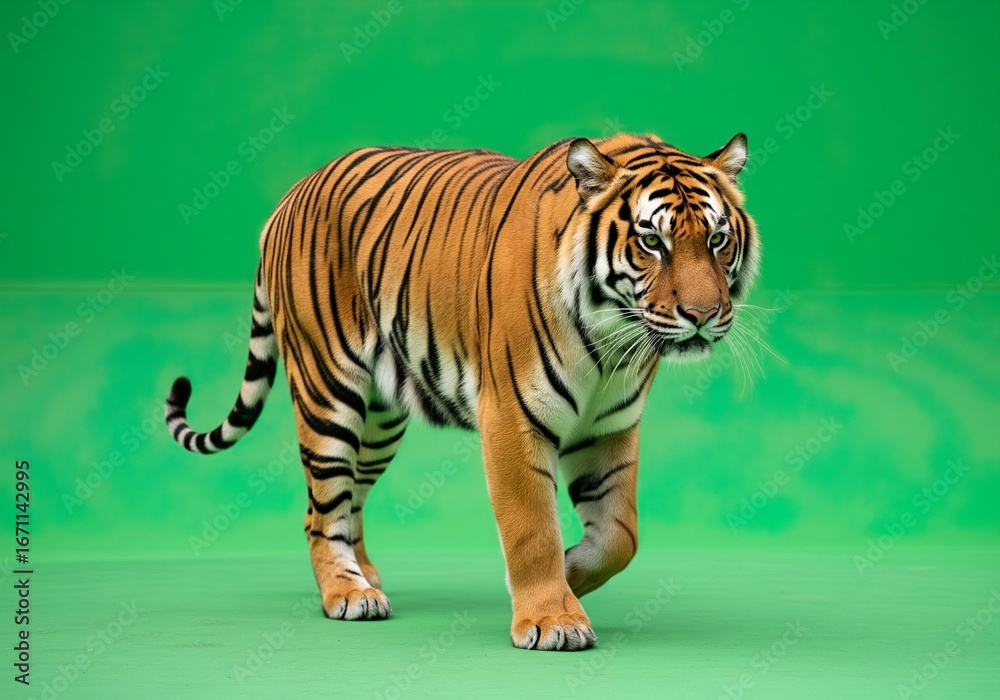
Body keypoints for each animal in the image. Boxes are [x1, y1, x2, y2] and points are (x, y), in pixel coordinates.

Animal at [164, 132, 759, 651]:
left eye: (717, 239)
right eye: (652, 241)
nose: (703, 315)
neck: (612, 341)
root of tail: (287, 199)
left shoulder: (608, 429)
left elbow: (621, 536)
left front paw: (569, 574)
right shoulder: (513, 417)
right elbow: (532, 528)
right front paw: (551, 619)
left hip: (379, 421)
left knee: (351, 496)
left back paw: (368, 576)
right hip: (327, 392)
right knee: (321, 508)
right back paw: (347, 593)